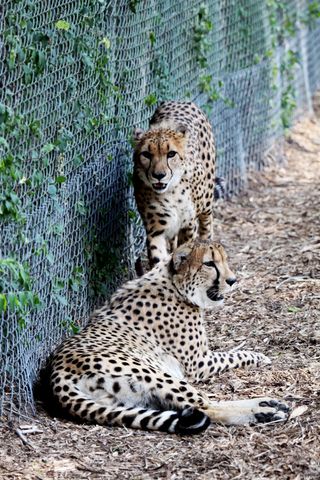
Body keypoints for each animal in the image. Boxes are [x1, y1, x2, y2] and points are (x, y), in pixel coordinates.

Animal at [50, 242, 290, 434]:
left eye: (225, 261)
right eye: (209, 264)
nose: (232, 280)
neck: (174, 284)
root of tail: (57, 373)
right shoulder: (198, 363)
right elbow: (233, 355)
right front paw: (259, 356)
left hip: (128, 400)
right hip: (157, 374)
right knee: (205, 406)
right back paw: (264, 409)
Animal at [131, 101, 216, 268]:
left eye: (171, 154)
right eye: (146, 155)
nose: (159, 175)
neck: (171, 192)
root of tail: (181, 101)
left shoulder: (188, 225)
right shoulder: (155, 229)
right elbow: (158, 257)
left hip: (207, 201)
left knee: (206, 225)